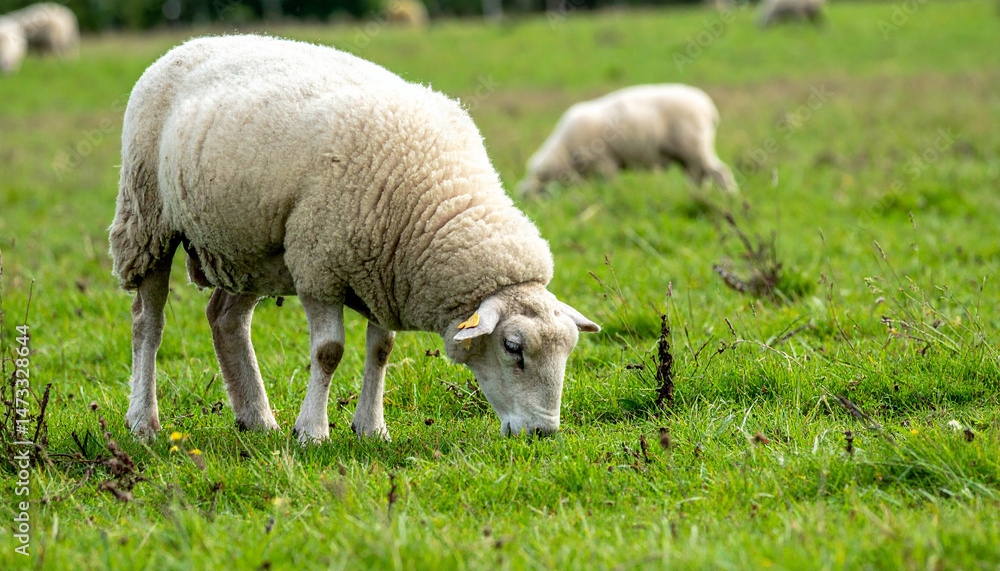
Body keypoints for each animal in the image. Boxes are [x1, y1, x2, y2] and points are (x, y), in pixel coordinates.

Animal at [109, 35, 600, 443]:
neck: (437, 200)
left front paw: (371, 429)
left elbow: (381, 350)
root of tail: (187, 45)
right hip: (147, 219)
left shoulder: (384, 271)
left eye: (568, 350)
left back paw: (257, 419)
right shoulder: (319, 268)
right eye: (513, 348)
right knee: (148, 324)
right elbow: (329, 352)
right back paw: (144, 422)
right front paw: (312, 432)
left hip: (251, 246)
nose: (543, 433)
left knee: (226, 319)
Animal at [517, 84, 737, 196]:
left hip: (694, 146)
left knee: (718, 171)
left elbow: (609, 184)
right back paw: (697, 195)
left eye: (536, 193)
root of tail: (708, 107)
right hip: (687, 154)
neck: (565, 151)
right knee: (698, 175)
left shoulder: (604, 162)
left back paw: (729, 194)